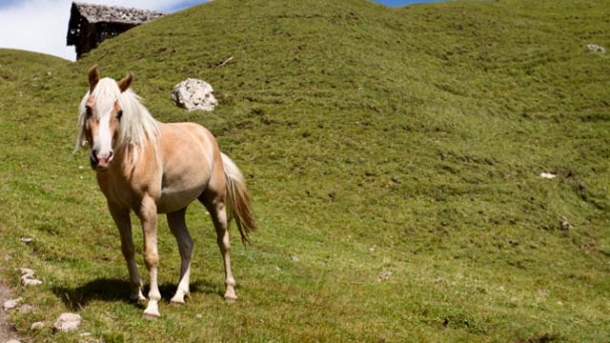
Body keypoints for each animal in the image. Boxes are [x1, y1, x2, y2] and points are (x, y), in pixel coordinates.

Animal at [73, 65, 254, 320]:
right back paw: (179, 294)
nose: (101, 157)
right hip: (176, 210)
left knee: (224, 242)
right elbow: (128, 248)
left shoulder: (147, 207)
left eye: (119, 113)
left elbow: (151, 255)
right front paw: (136, 293)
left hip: (215, 202)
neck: (131, 157)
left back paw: (229, 292)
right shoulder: (116, 208)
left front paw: (152, 304)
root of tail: (209, 139)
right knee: (187, 245)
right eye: (88, 108)